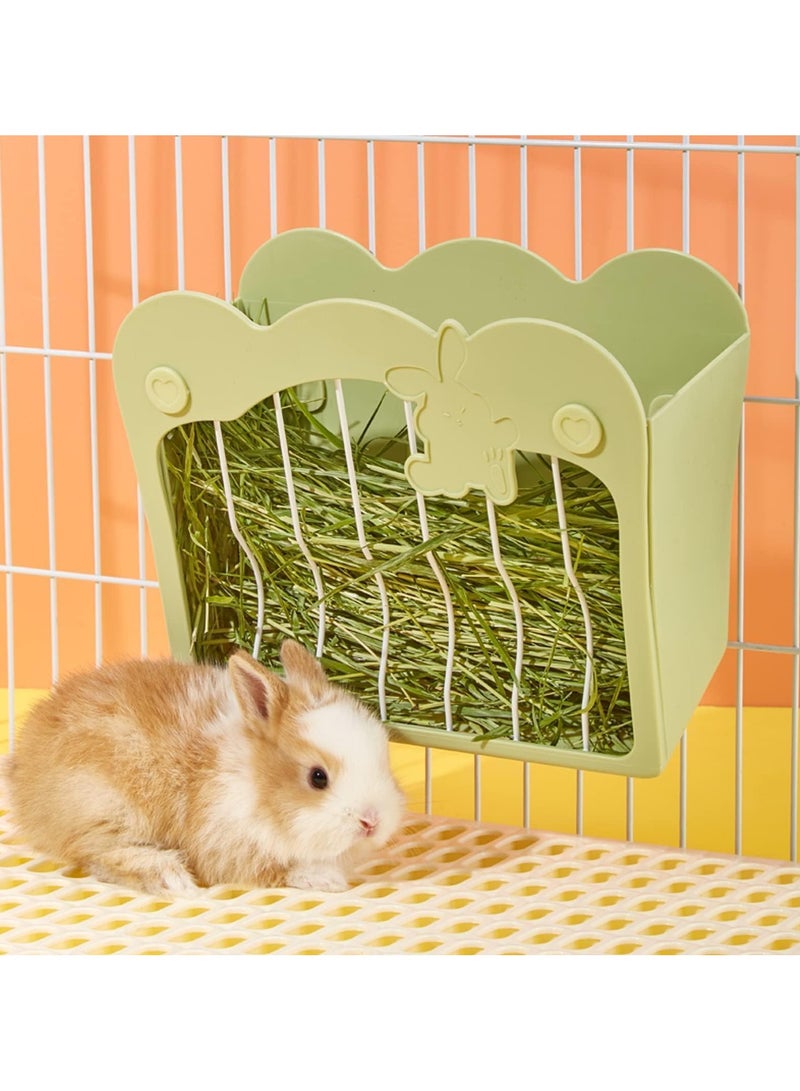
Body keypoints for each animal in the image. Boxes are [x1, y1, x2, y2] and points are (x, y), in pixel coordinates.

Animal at [3, 640, 406, 897]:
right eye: (317, 777)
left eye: (383, 758)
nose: (372, 822)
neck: (252, 781)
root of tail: (23, 771)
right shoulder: (223, 844)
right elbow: (272, 870)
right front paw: (325, 879)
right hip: (108, 809)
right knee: (98, 854)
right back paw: (168, 876)